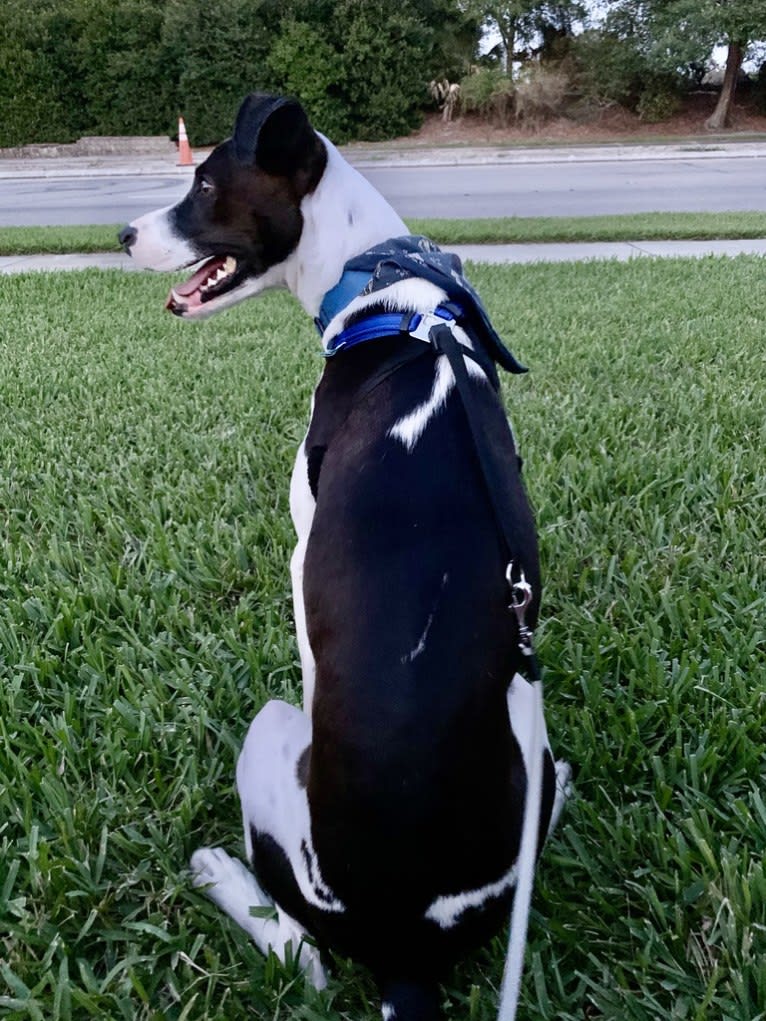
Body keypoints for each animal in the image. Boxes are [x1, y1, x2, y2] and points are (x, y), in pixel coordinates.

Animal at [120, 95, 571, 1021]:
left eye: (204, 185)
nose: (121, 236)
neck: (386, 289)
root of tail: (406, 952)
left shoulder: (301, 553)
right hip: (533, 739)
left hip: (267, 739)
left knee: (303, 951)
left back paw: (219, 873)